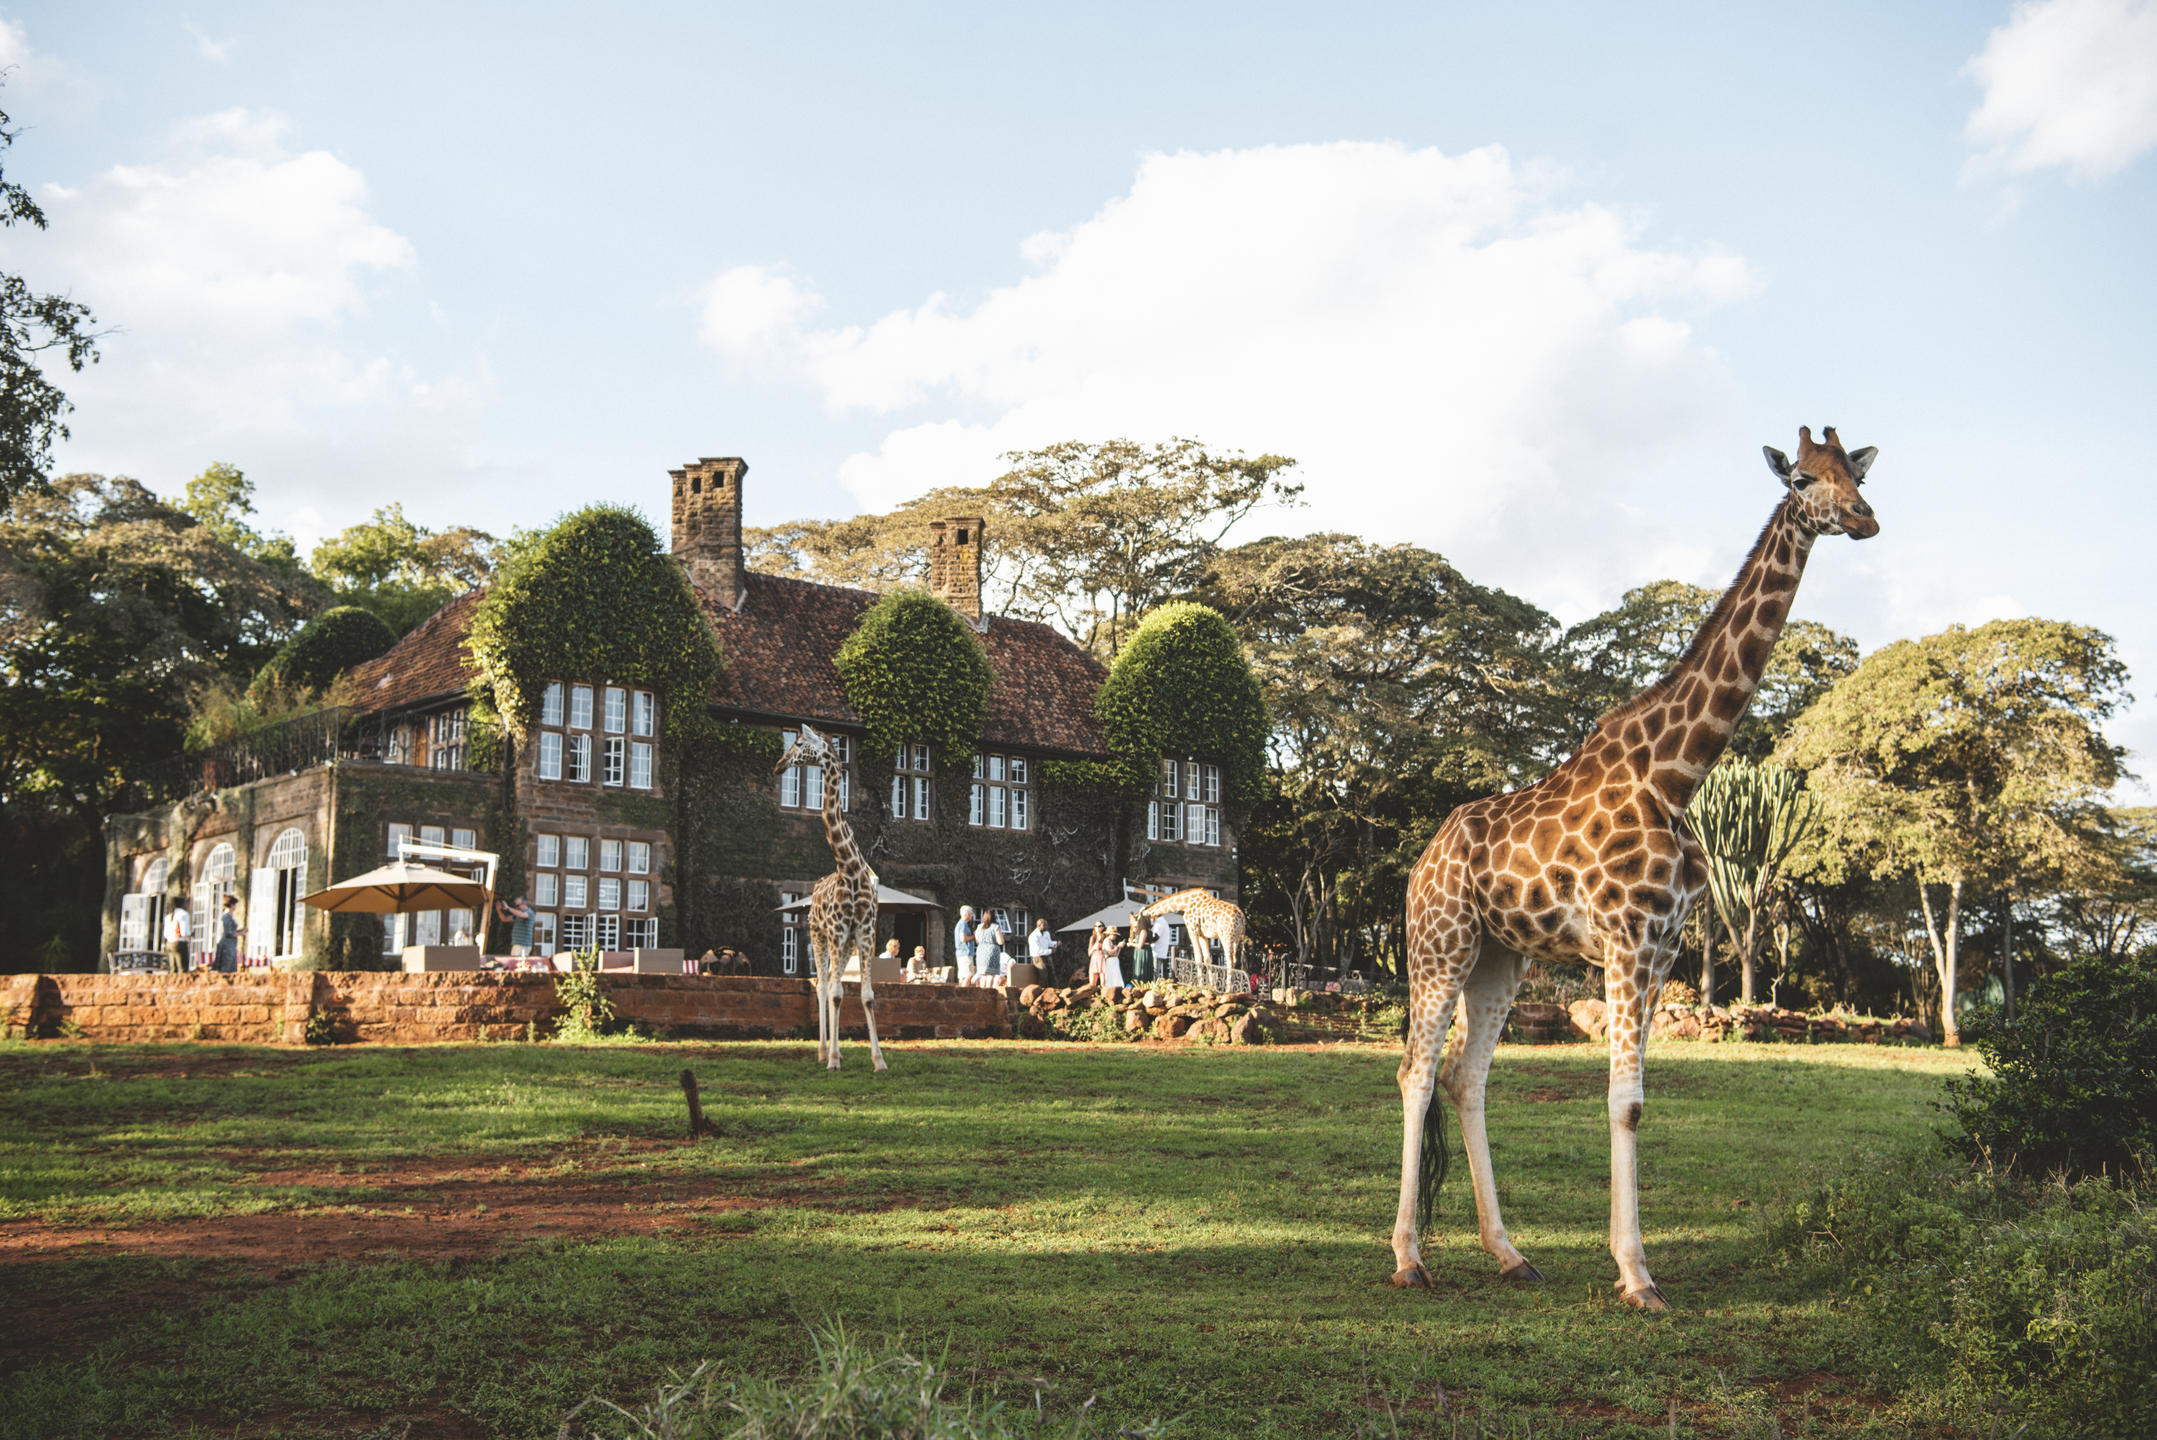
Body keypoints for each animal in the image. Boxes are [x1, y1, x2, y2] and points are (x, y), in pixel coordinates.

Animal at [772, 724, 888, 1073]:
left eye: (798, 743)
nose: (779, 765)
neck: (849, 868)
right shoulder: (836, 932)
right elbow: (835, 993)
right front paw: (834, 1059)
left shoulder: (864, 932)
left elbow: (867, 995)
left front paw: (879, 1060)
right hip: (818, 935)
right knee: (823, 986)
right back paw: (824, 1051)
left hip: (845, 944)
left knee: (832, 985)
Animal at [1389, 424, 1880, 1302]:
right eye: (1799, 478)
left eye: (1853, 475)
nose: (1863, 520)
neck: (1678, 774)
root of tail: (1425, 858)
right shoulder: (1624, 939)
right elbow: (1622, 1101)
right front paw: (1634, 1274)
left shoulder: (1662, 945)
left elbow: (1636, 1102)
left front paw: (1632, 1265)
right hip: (1439, 941)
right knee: (1415, 1073)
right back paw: (1408, 1258)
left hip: (1501, 956)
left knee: (1464, 1078)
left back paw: (1509, 1253)